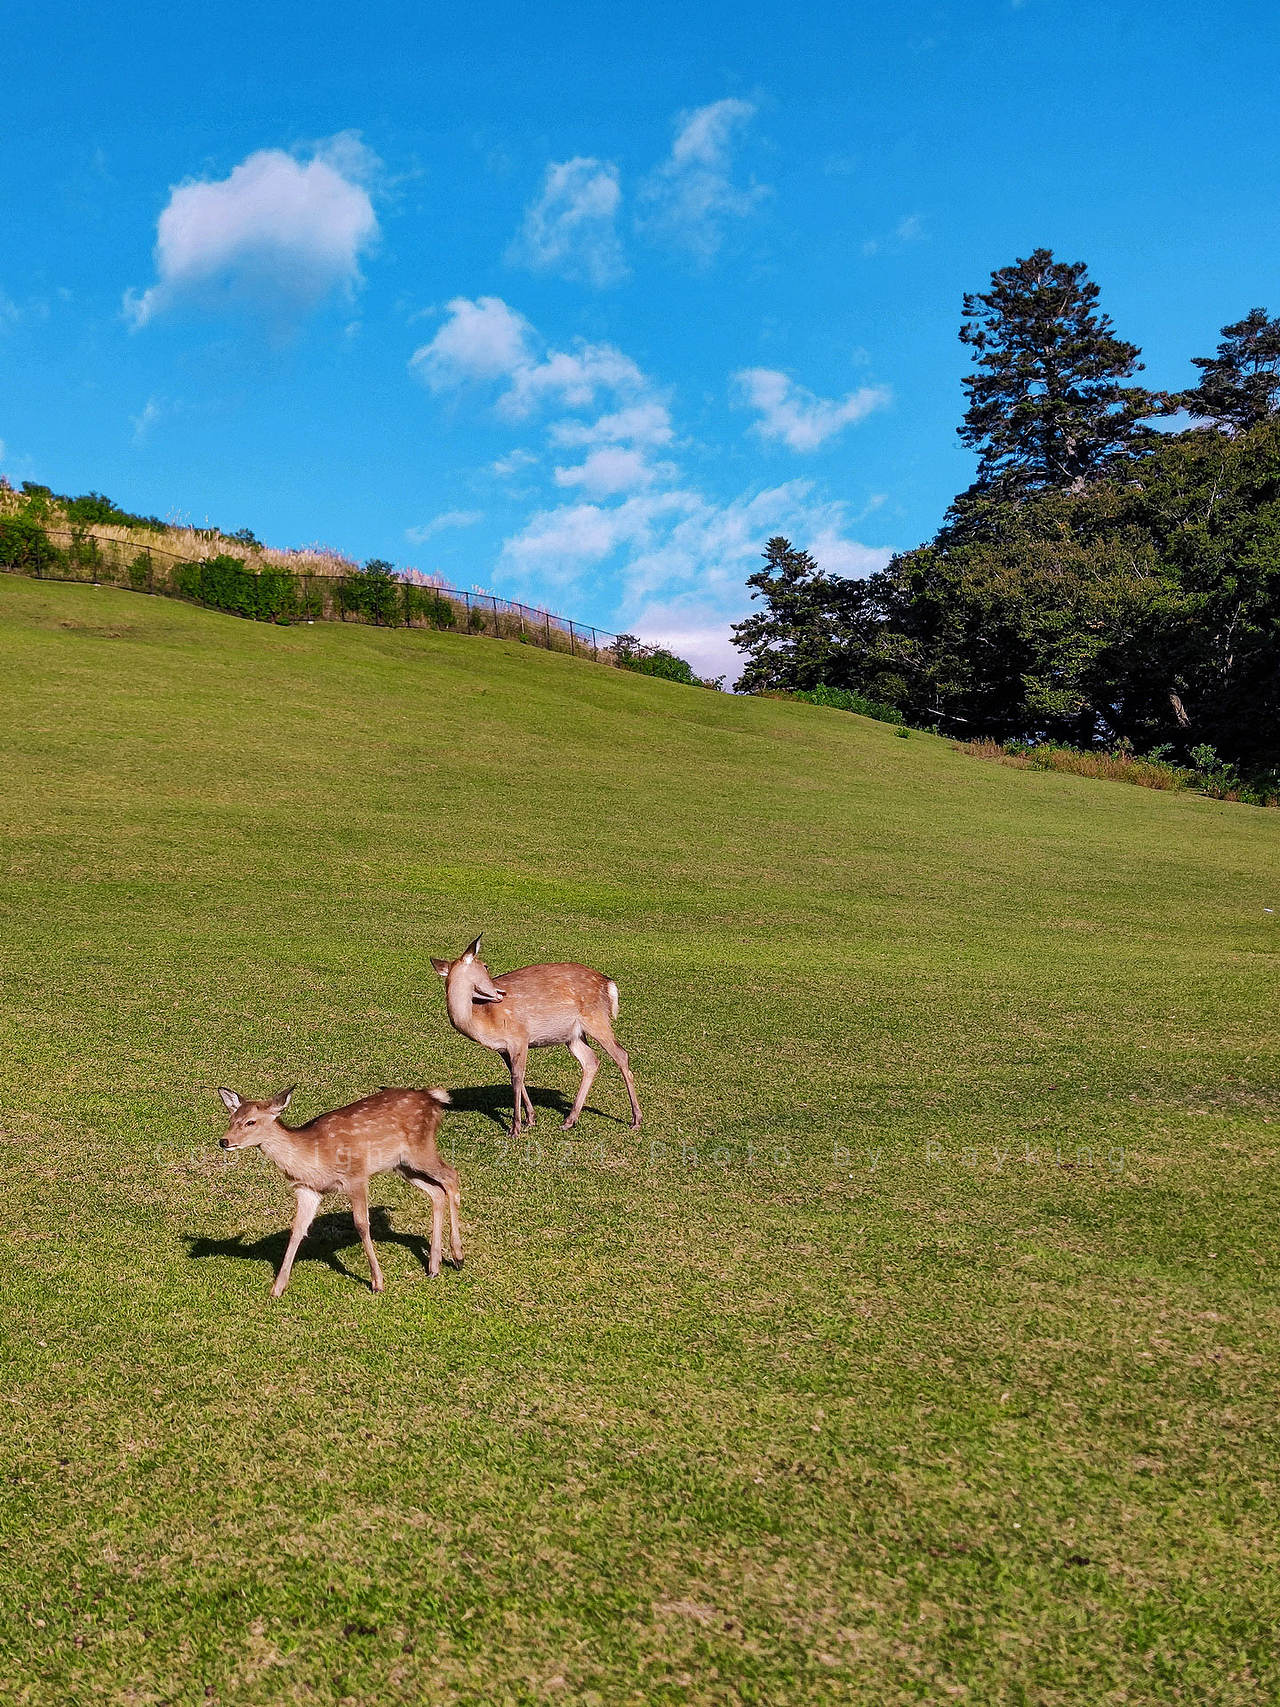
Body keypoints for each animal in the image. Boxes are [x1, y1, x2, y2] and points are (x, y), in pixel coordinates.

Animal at [215, 1084, 463, 1296]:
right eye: (231, 1119)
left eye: (251, 1122)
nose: (224, 1141)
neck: (313, 1159)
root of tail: (434, 1099)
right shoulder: (308, 1190)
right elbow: (297, 1230)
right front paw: (277, 1287)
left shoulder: (356, 1176)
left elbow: (361, 1224)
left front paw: (378, 1282)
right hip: (403, 1166)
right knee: (436, 1191)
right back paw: (434, 1266)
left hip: (421, 1149)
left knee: (451, 1176)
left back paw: (457, 1256)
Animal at [429, 935, 641, 1139]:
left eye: (485, 965)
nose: (500, 993)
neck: (481, 1019)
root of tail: (609, 984)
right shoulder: (503, 1049)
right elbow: (516, 1076)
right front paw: (530, 1119)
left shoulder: (519, 1037)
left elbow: (517, 1078)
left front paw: (515, 1128)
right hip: (573, 1035)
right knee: (591, 1061)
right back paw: (569, 1120)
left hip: (596, 1018)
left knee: (621, 1054)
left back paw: (636, 1120)